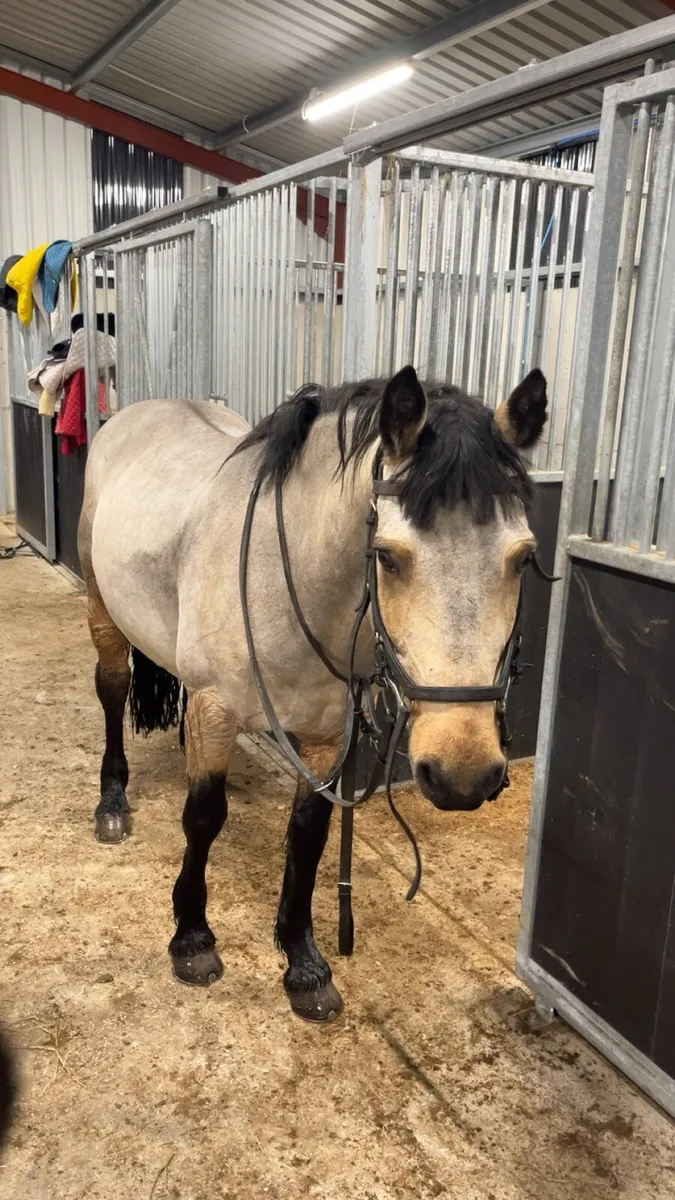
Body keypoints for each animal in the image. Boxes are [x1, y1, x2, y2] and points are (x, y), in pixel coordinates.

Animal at [78, 364, 548, 1022]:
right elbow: (202, 818)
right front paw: (192, 937)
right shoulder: (216, 709)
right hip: (102, 610)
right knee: (112, 690)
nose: (463, 774)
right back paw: (113, 802)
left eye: (523, 558)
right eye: (388, 557)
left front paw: (301, 960)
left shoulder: (328, 735)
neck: (287, 577)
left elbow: (309, 834)